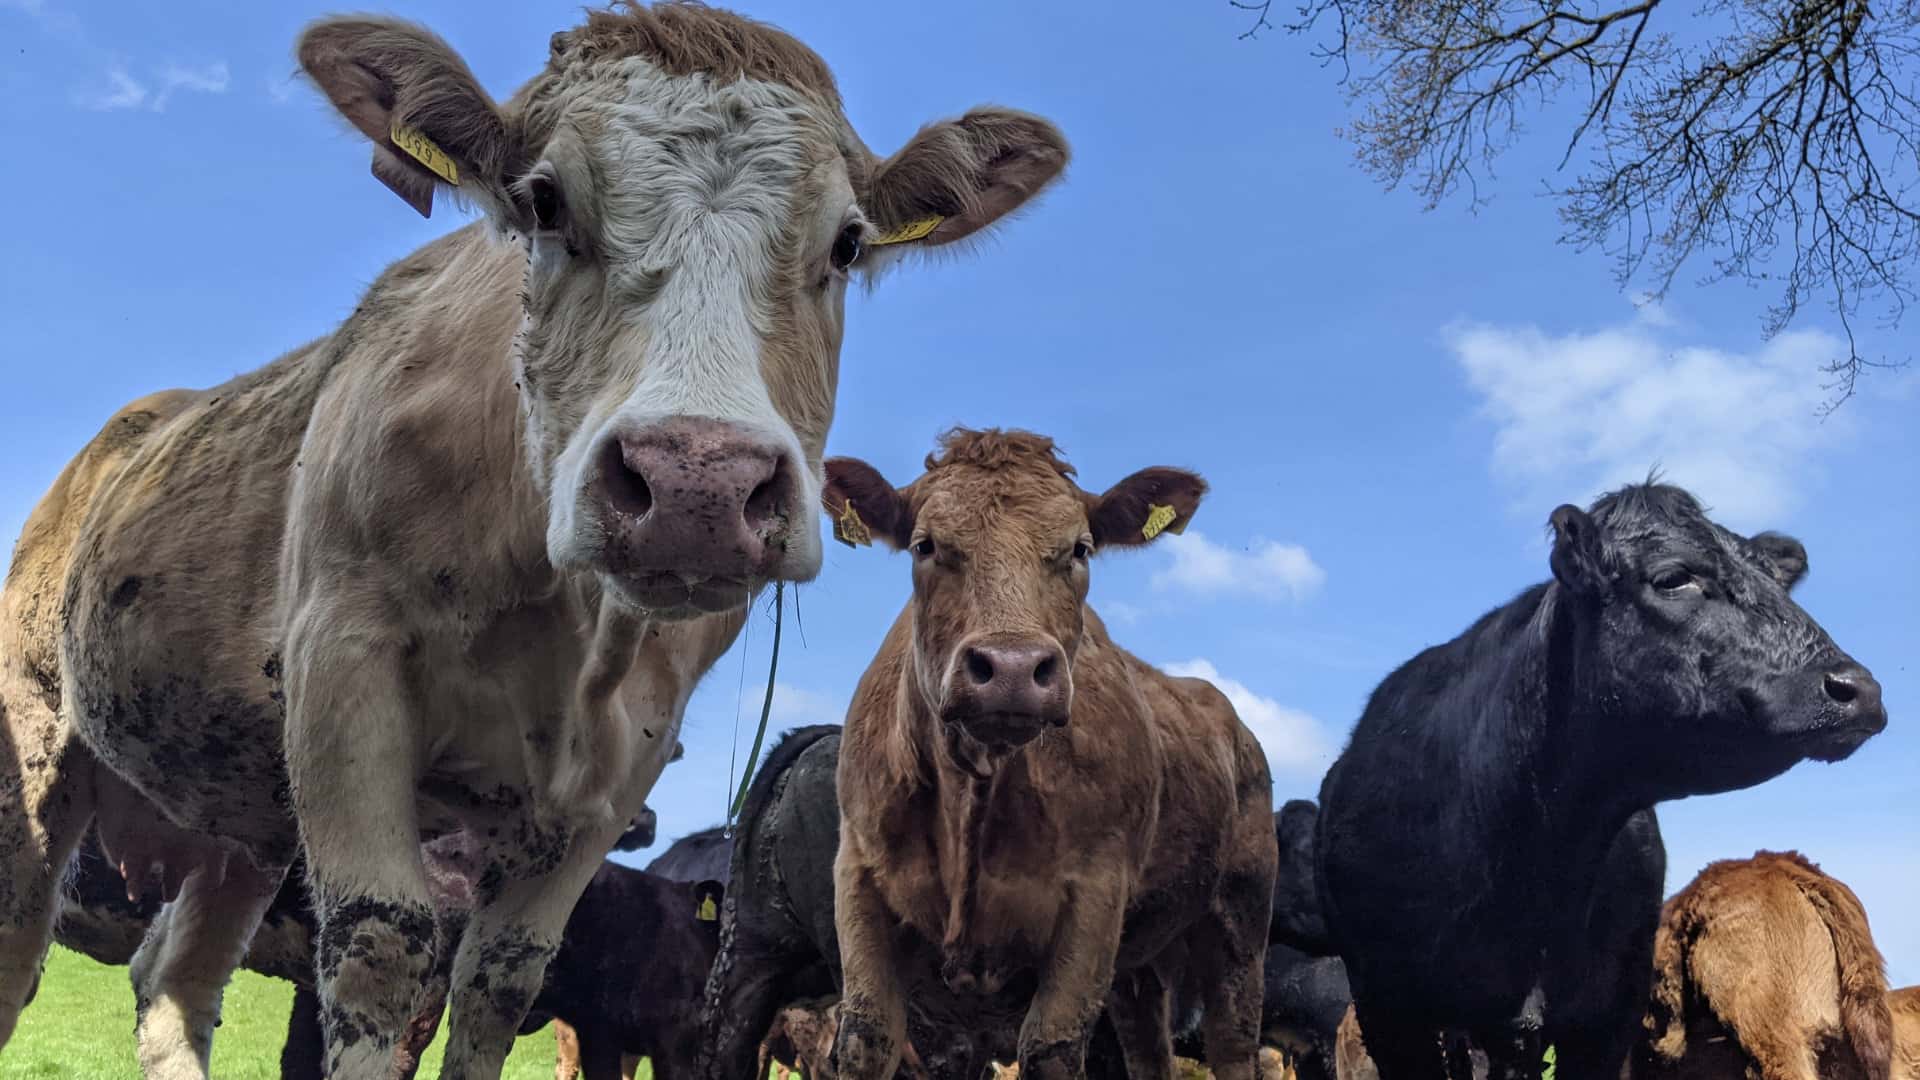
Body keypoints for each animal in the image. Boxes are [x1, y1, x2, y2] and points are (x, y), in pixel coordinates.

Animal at [814, 428, 1274, 1076]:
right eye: (926, 546)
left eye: (1080, 550)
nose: (1011, 669)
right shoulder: (857, 874)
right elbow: (866, 1036)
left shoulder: (1096, 896)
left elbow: (1052, 1044)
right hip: (1137, 970)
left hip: (1240, 924)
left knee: (1233, 1043)